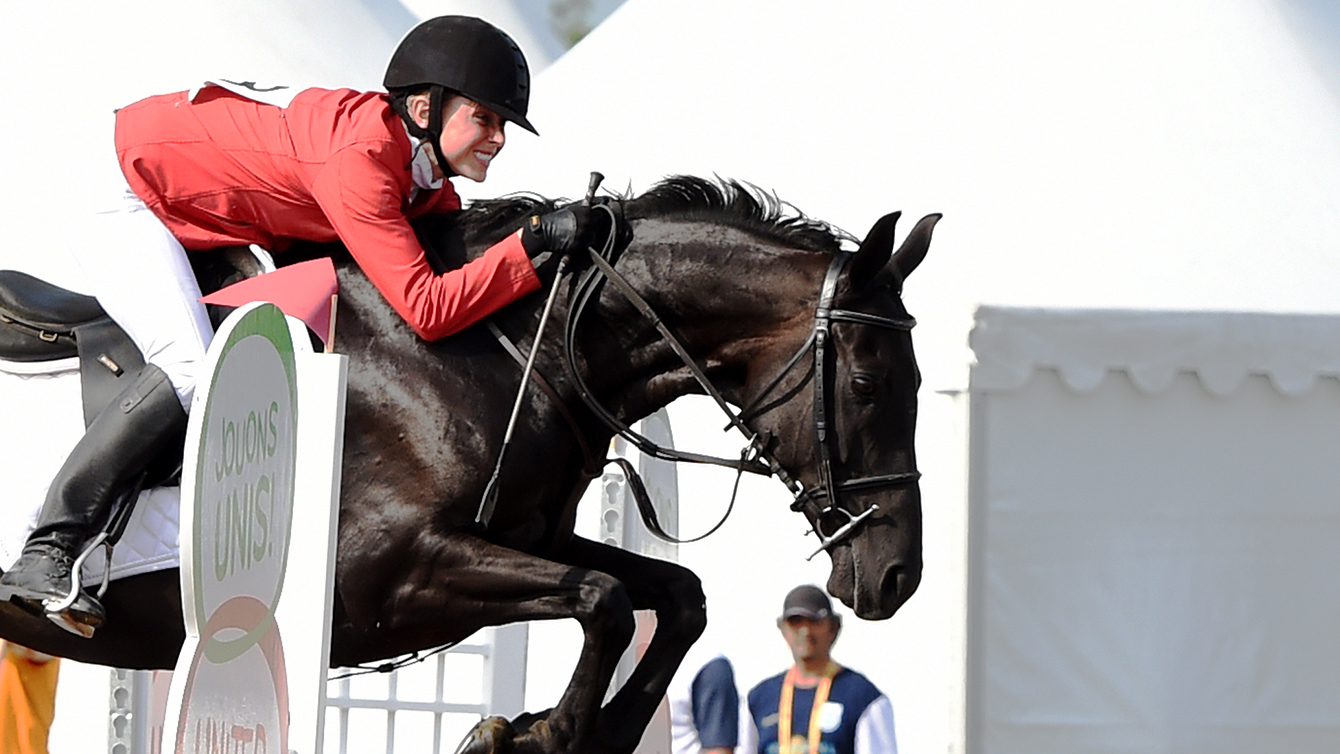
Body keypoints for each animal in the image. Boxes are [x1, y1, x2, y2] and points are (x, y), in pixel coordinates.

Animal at [0, 175, 943, 754]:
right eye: (869, 383)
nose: (896, 576)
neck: (494, 346)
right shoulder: (388, 579)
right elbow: (605, 602)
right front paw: (533, 734)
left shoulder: (524, 536)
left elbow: (674, 596)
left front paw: (580, 731)